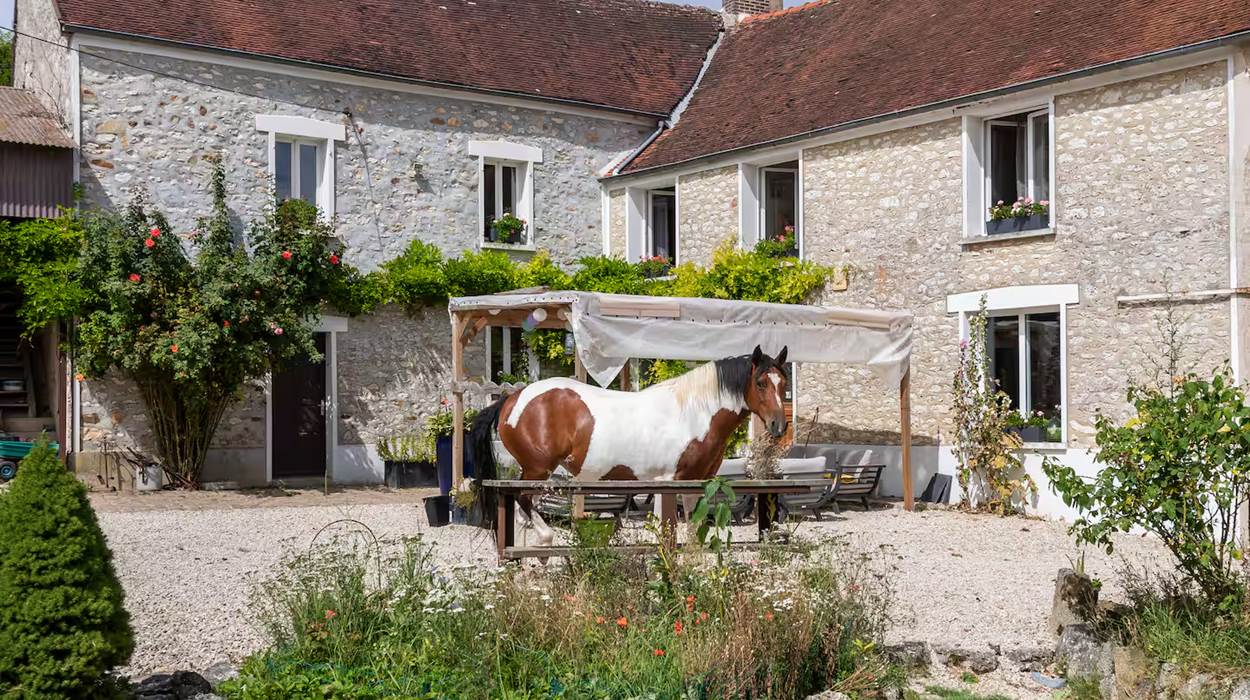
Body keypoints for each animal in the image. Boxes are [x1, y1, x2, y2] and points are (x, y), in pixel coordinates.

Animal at [469, 345, 789, 548]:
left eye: (783, 383)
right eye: (761, 383)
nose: (779, 426)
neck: (693, 413)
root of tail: (512, 399)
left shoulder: (695, 482)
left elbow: (693, 530)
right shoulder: (666, 482)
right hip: (536, 471)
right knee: (522, 503)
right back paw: (545, 544)